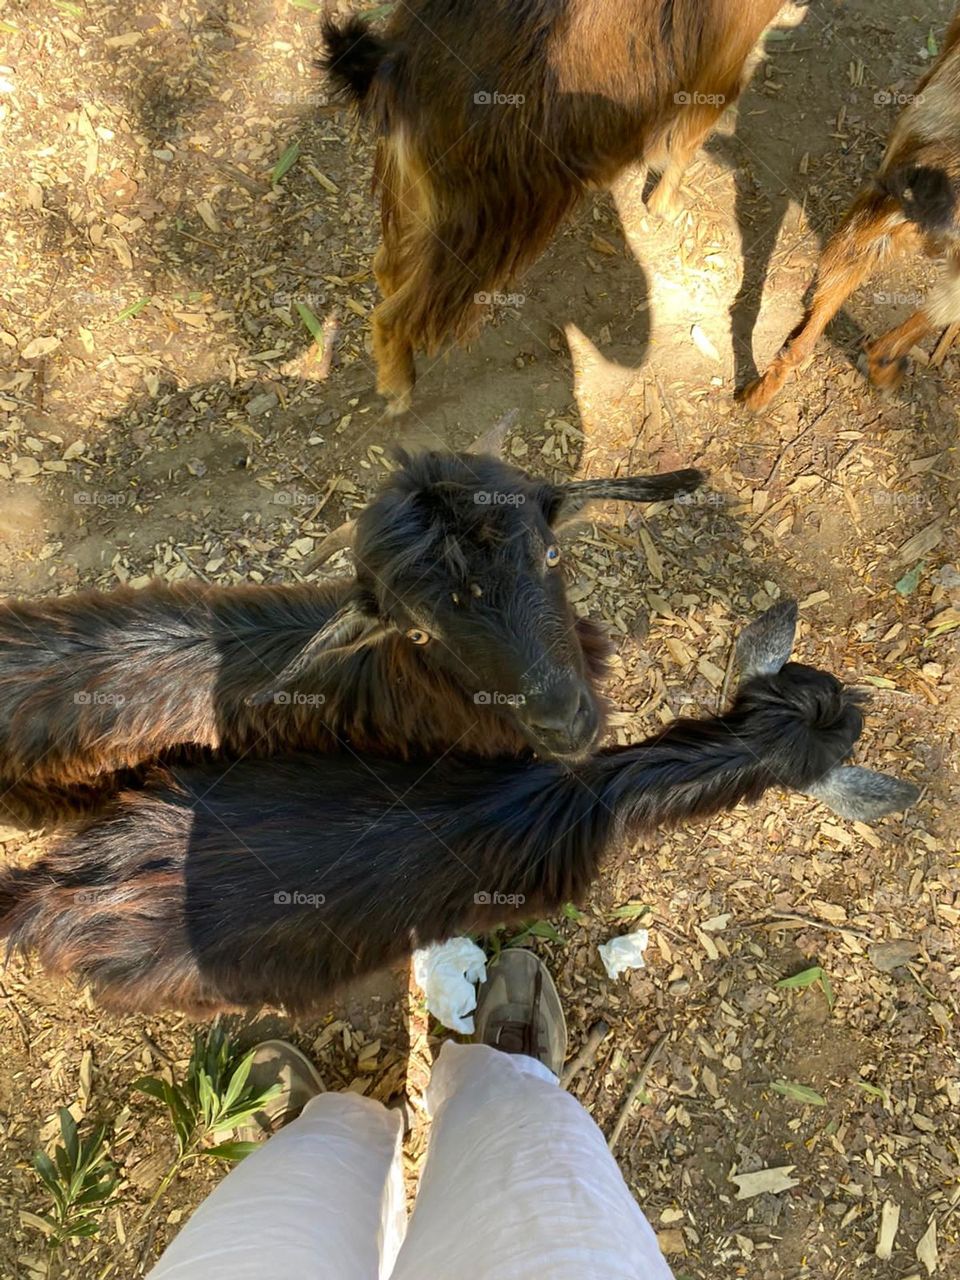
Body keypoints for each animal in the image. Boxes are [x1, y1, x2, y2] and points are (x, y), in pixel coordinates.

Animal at [320, 1, 807, 414]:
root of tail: (395, 64)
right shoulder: (718, 68)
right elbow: (687, 141)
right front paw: (667, 206)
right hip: (486, 221)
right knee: (399, 312)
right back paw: (398, 389)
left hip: (418, 191)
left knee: (387, 267)